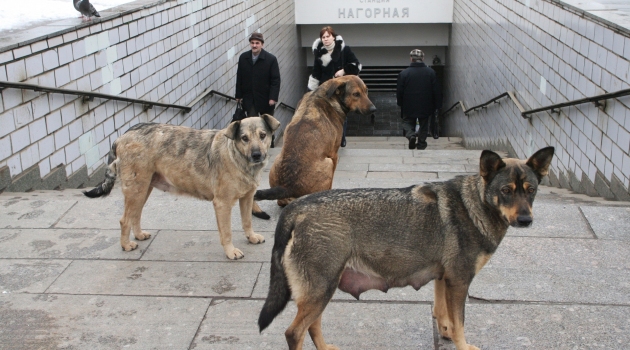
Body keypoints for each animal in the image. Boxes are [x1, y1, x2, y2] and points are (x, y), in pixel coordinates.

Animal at [82, 116, 280, 262]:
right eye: (244, 138)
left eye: (263, 135)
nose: (257, 155)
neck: (237, 157)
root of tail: (122, 136)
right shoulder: (222, 204)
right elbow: (227, 232)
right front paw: (231, 251)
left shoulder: (247, 197)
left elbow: (247, 221)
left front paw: (251, 237)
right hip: (136, 189)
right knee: (124, 220)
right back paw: (126, 245)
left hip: (144, 188)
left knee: (135, 215)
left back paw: (138, 235)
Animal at [253, 76, 380, 219]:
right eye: (356, 94)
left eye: (366, 90)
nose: (374, 109)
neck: (324, 94)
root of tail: (286, 187)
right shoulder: (333, 154)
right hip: (328, 163)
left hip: (276, 161)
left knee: (280, 202)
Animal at [260, 146, 556, 348]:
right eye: (506, 191)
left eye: (531, 190)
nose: (526, 220)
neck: (476, 204)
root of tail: (298, 207)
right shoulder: (460, 281)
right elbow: (460, 323)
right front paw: (461, 344)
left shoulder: (444, 279)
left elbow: (444, 316)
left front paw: (445, 334)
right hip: (320, 289)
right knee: (294, 332)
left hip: (321, 290)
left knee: (312, 326)